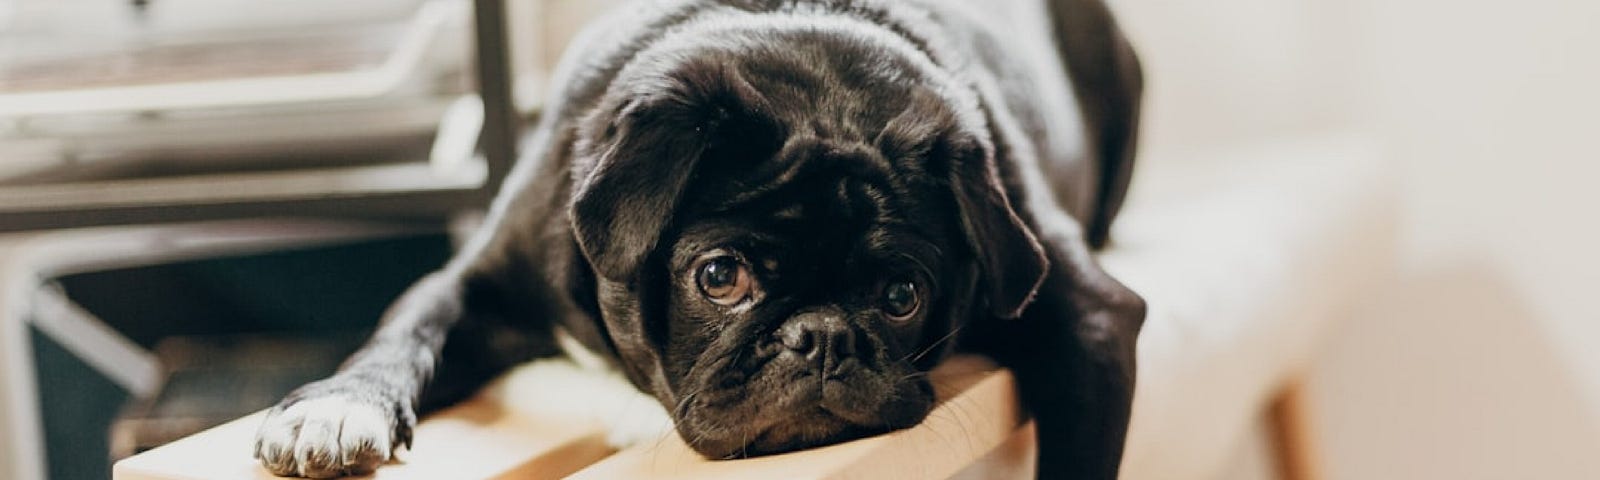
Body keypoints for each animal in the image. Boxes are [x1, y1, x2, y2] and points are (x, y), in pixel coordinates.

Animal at [256, 0, 1145, 476]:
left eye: (902, 297)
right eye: (720, 277)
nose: (821, 335)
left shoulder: (1092, 315)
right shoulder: (475, 285)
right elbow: (405, 334)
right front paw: (336, 407)